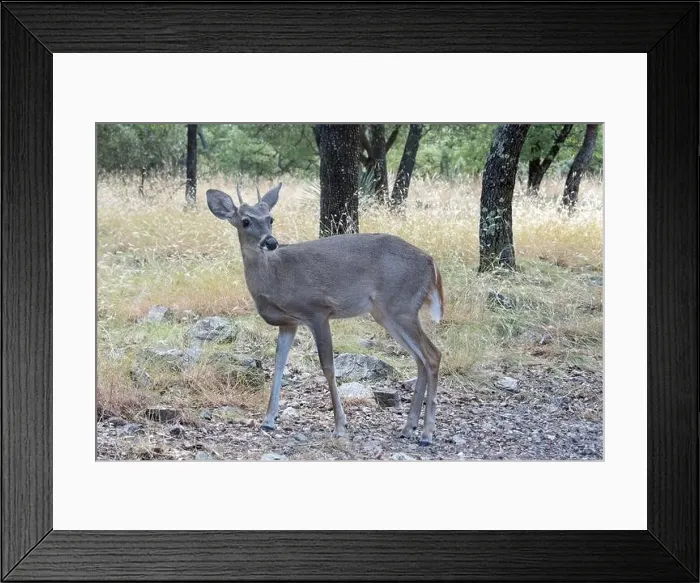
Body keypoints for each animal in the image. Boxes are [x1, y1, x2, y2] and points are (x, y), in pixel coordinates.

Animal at [206, 183, 444, 446]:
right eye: (246, 221)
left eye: (270, 218)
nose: (271, 242)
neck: (275, 278)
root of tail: (431, 262)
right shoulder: (289, 322)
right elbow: (279, 364)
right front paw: (268, 421)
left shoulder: (317, 310)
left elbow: (328, 367)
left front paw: (340, 425)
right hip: (386, 313)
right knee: (420, 359)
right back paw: (408, 427)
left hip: (401, 306)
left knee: (432, 354)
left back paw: (427, 433)